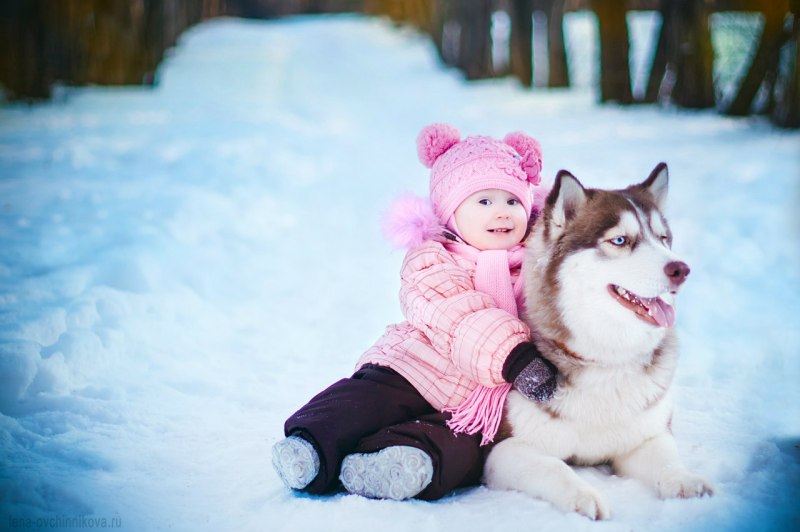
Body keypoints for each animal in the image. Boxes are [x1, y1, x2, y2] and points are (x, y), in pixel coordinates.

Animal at [484, 164, 716, 516]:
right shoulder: (503, 451)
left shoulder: (645, 436)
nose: (682, 269)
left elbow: (665, 459)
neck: (607, 359)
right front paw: (583, 495)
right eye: (620, 240)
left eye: (663, 239)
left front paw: (684, 480)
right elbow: (553, 467)